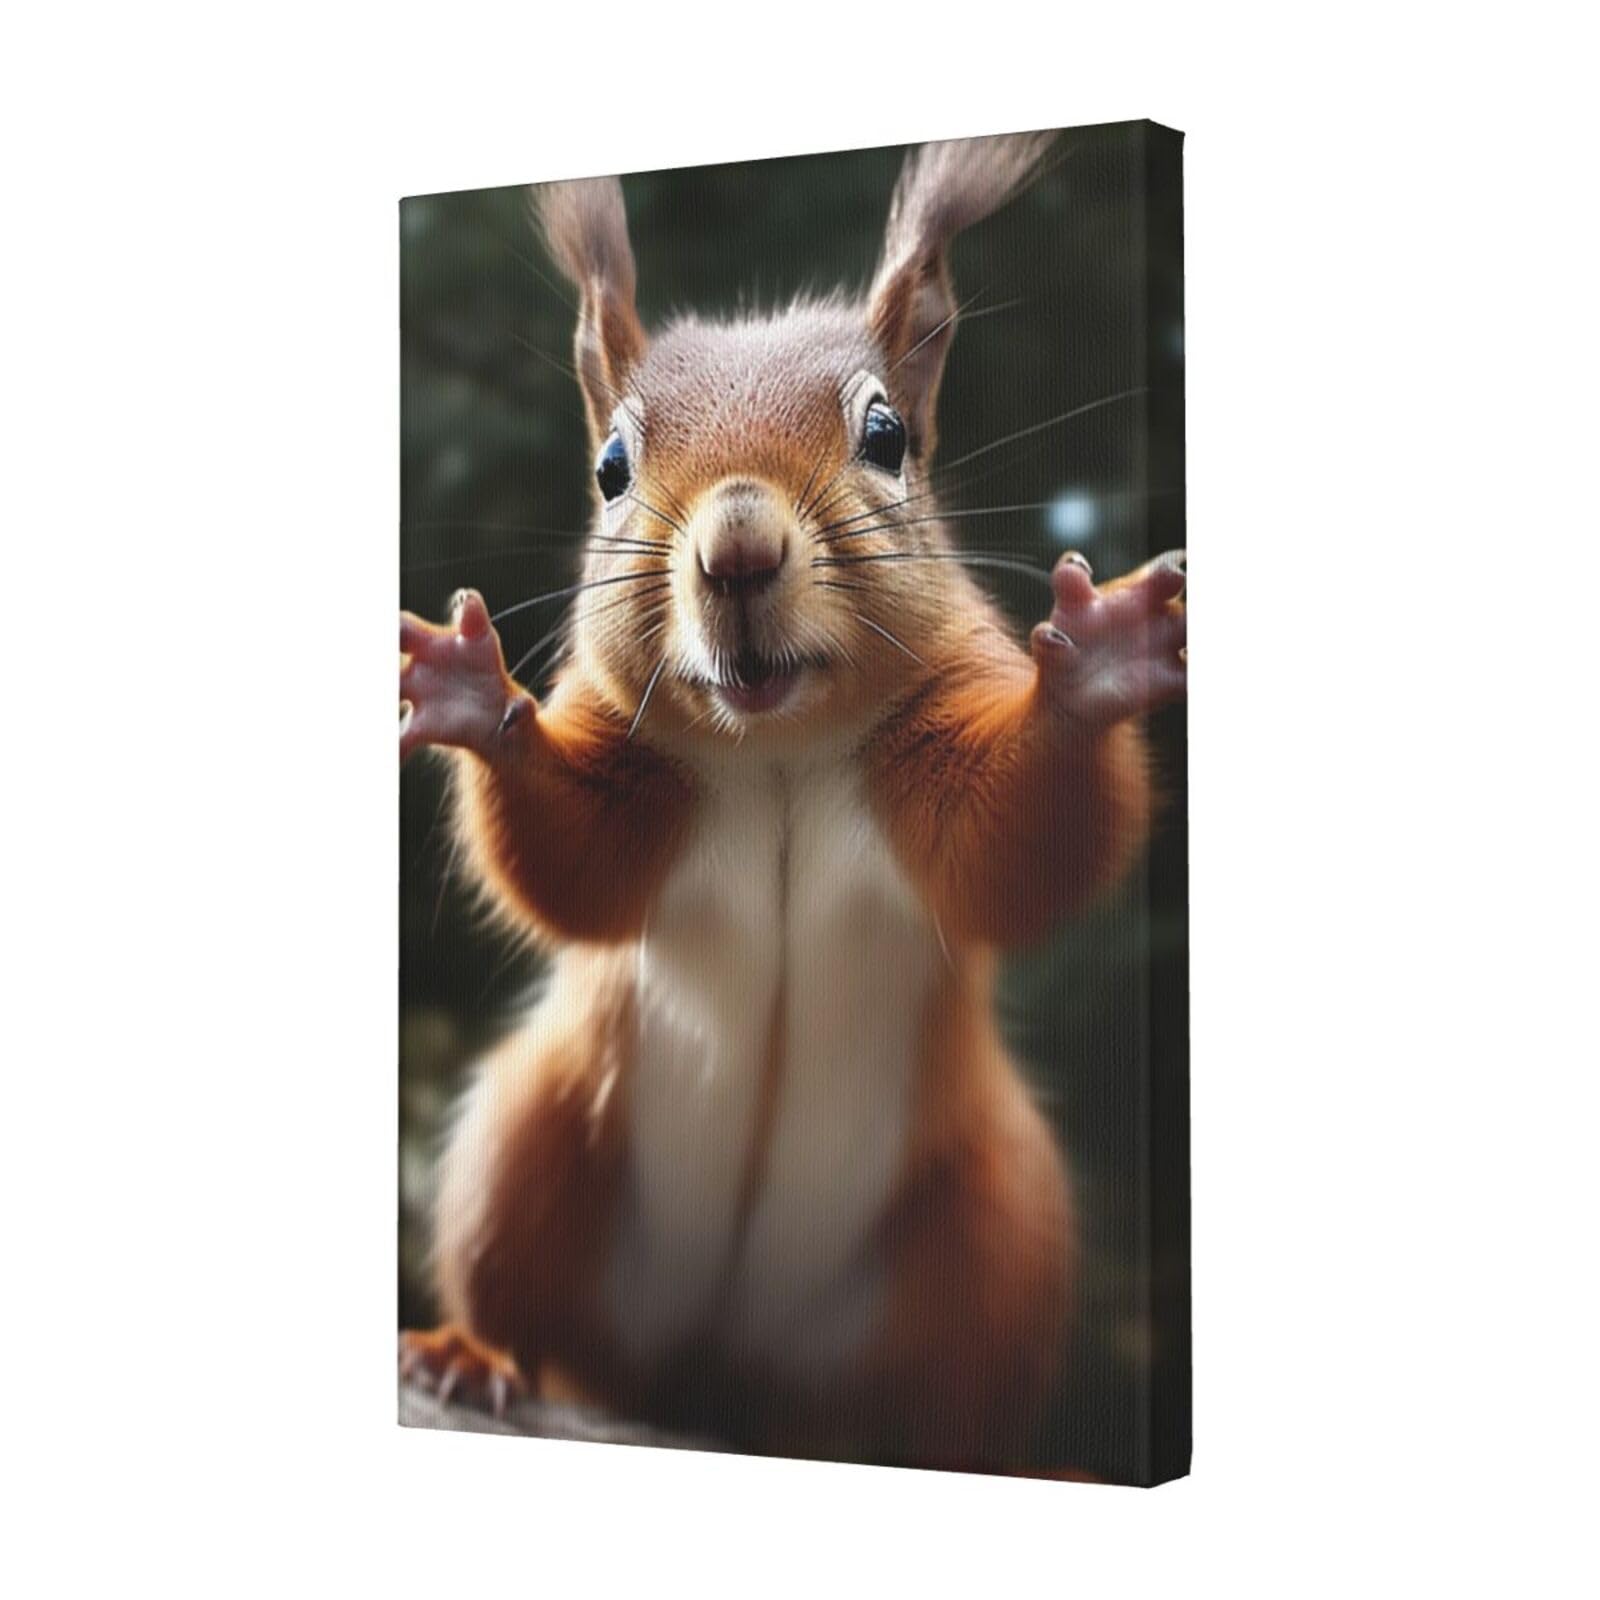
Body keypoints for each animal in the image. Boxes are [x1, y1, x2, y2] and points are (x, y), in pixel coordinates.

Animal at [398, 132, 1186, 1471]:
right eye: (610, 468)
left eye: (887, 435)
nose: (738, 550)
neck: (771, 751)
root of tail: (725, 1385)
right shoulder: (635, 779)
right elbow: (568, 859)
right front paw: (468, 688)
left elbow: (1020, 848)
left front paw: (1096, 664)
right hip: (527, 1142)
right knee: (528, 1306)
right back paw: (469, 1353)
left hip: (995, 1228)